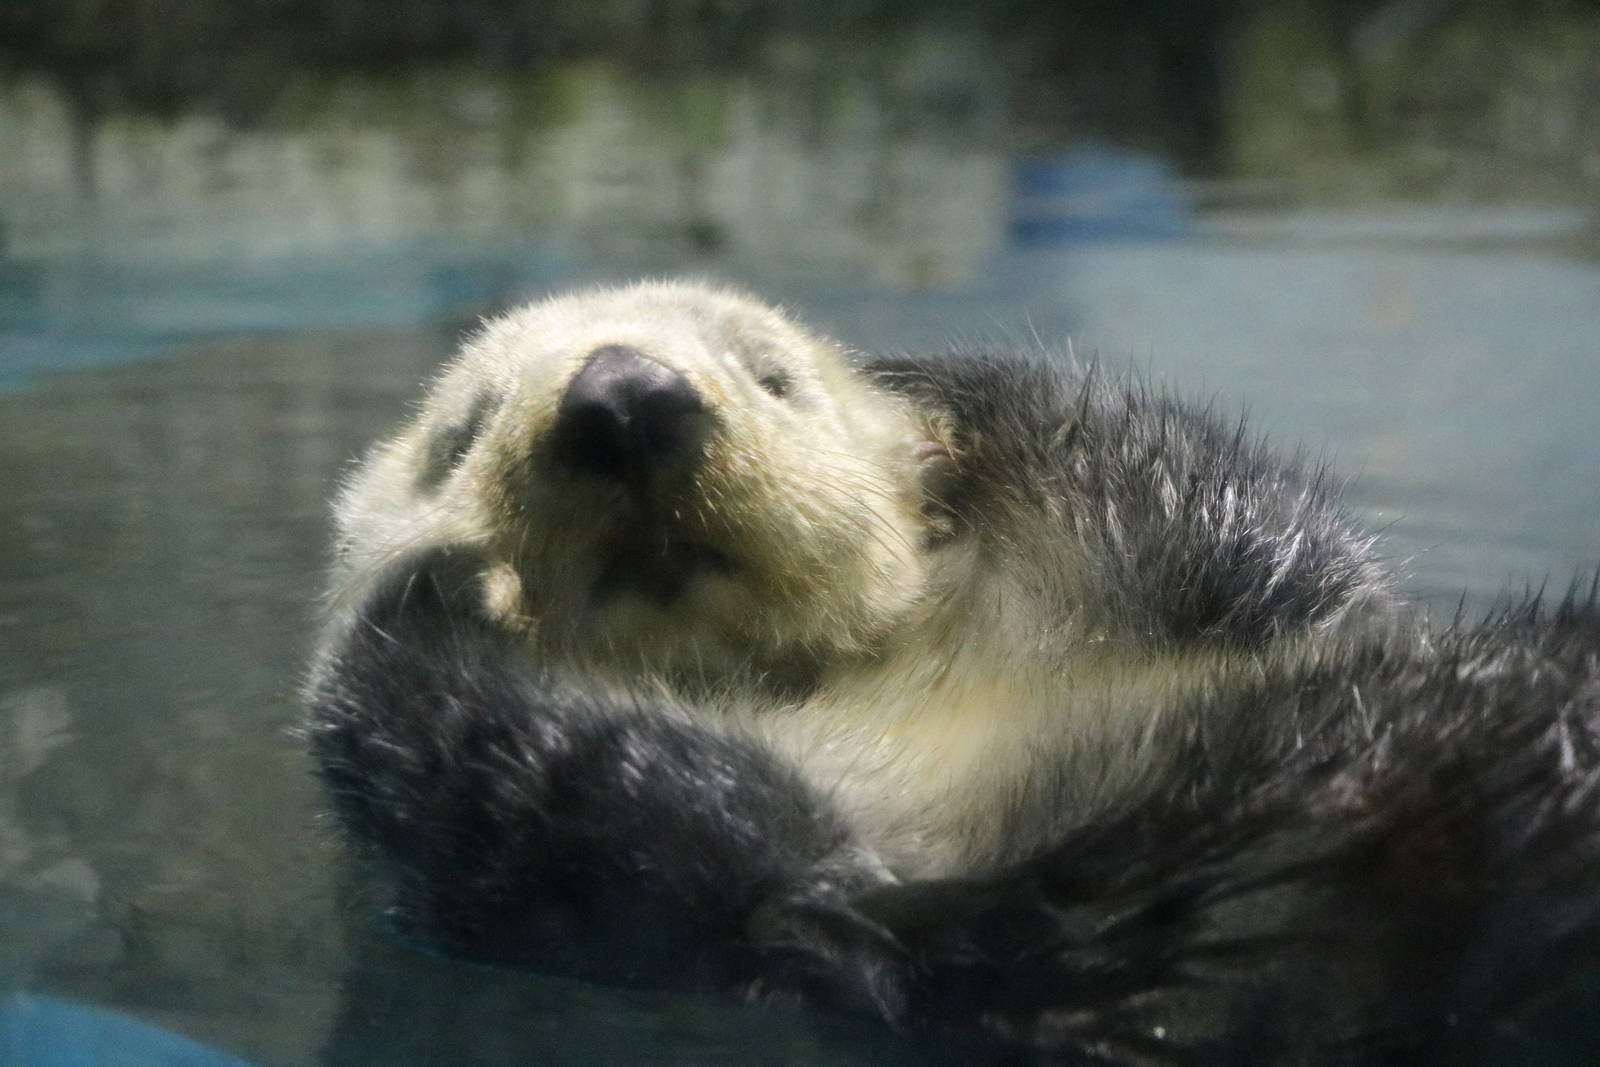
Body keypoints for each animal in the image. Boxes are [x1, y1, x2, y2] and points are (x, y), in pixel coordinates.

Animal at [307, 282, 1600, 1062]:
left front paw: (934, 391)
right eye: (465, 428)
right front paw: (439, 593)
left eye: (774, 376)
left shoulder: (1222, 580)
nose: (622, 397)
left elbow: (1257, 541)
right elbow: (749, 882)